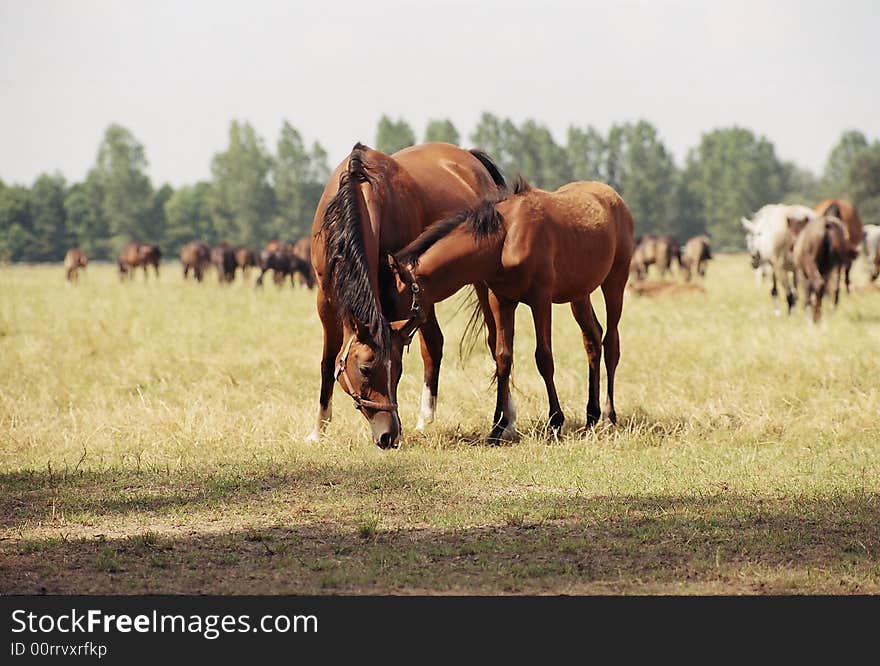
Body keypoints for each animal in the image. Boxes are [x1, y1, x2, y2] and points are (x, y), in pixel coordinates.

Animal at [310, 140, 506, 446]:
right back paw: (425, 419)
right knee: (434, 344)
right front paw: (318, 430)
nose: (388, 435)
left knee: (494, 342)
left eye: (398, 370)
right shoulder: (326, 298)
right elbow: (328, 360)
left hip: (481, 284)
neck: (360, 193)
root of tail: (469, 157)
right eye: (365, 369)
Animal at [392, 178, 632, 440]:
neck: (506, 238)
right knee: (592, 339)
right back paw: (591, 417)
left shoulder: (540, 300)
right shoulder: (502, 301)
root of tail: (615, 197)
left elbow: (544, 357)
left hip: (615, 282)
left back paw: (608, 416)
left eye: (395, 298)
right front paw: (497, 428)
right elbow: (503, 358)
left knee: (611, 344)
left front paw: (555, 421)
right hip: (580, 294)